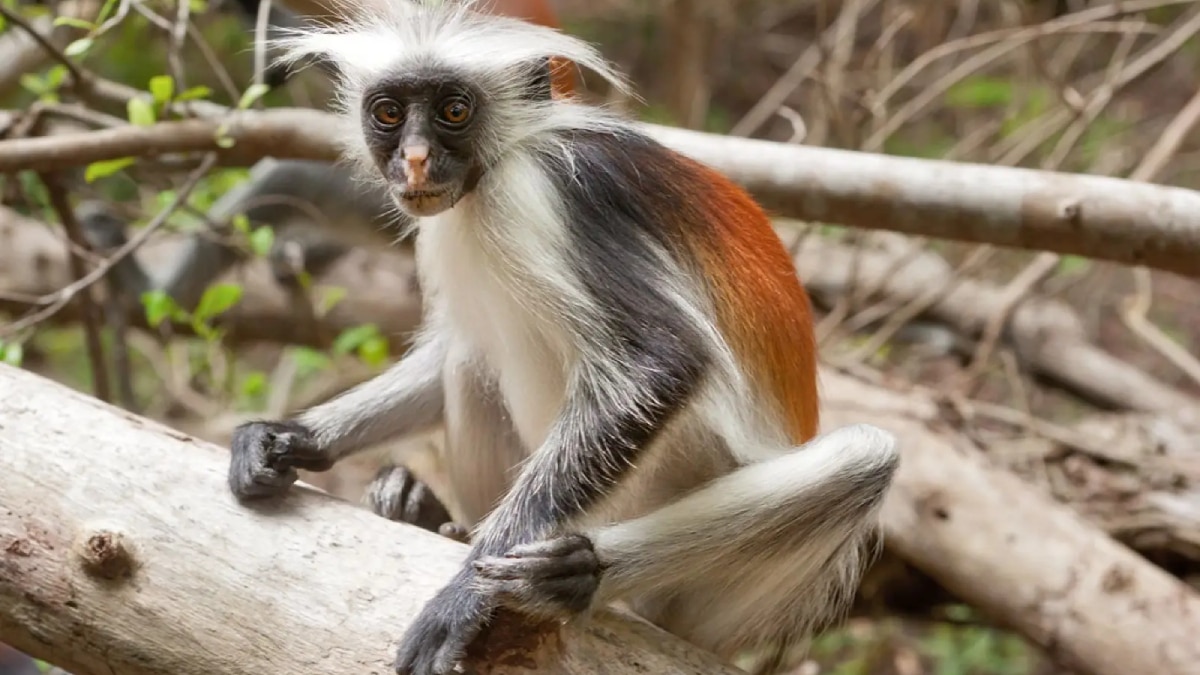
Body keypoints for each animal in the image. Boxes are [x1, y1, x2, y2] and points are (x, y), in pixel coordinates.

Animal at [226, 2, 902, 667]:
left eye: (454, 111)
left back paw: (572, 576)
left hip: (698, 570)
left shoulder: (543, 191)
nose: (414, 159)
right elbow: (451, 345)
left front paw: (466, 590)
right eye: (389, 113)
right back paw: (435, 516)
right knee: (470, 359)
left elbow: (660, 361)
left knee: (865, 455)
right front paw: (292, 437)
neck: (495, 168)